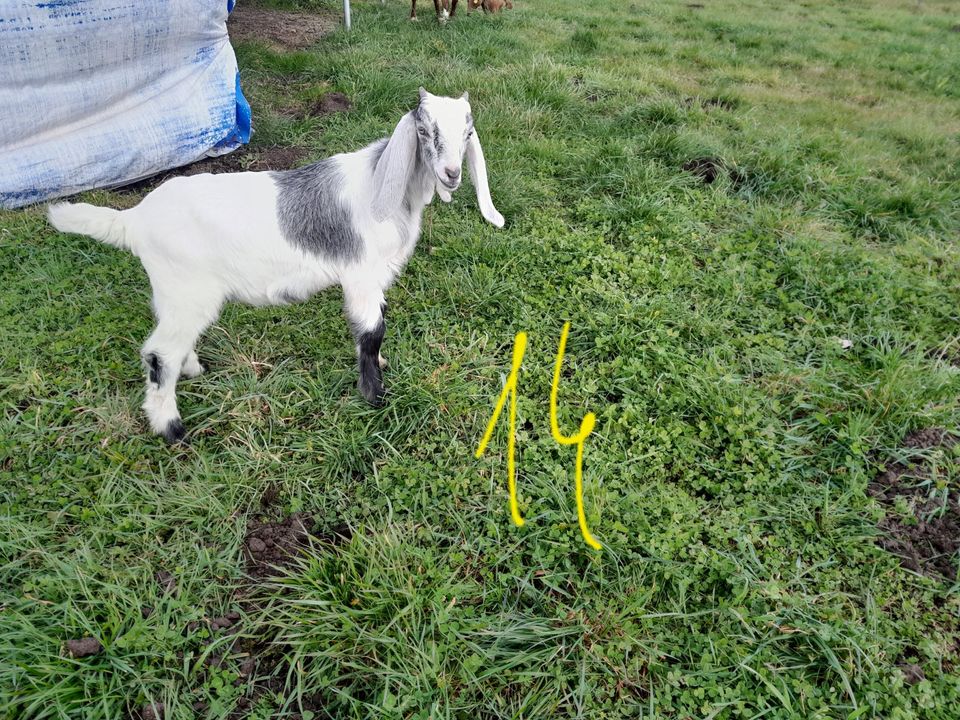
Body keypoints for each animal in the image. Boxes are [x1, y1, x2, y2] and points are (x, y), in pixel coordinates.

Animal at [48, 87, 506, 442]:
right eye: (425, 130)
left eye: (467, 132)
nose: (451, 174)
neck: (385, 185)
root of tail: (135, 219)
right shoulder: (360, 276)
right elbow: (372, 331)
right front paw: (374, 396)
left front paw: (379, 371)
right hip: (190, 290)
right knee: (159, 354)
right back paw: (172, 429)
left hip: (174, 293)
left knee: (171, 342)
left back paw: (193, 368)